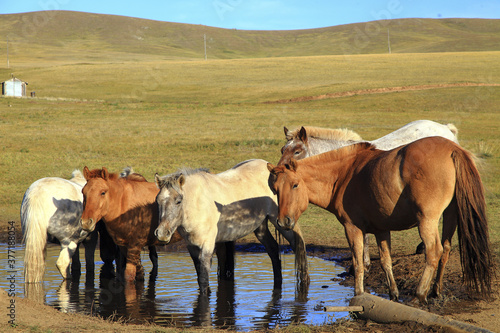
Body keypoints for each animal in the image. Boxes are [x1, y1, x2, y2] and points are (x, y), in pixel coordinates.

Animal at [154, 160, 306, 294]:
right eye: (158, 201)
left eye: (178, 201)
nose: (162, 233)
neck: (197, 204)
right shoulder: (191, 246)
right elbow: (200, 277)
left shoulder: (207, 246)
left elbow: (203, 279)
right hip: (260, 228)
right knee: (273, 250)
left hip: (281, 221)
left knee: (297, 244)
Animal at [268, 136, 494, 304]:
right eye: (275, 189)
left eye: (295, 185)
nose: (283, 222)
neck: (344, 174)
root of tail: (453, 149)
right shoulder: (381, 230)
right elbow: (386, 262)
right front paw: (393, 294)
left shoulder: (352, 229)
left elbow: (358, 263)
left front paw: (358, 294)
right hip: (450, 215)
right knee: (445, 249)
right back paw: (435, 291)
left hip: (427, 221)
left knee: (434, 251)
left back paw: (420, 294)